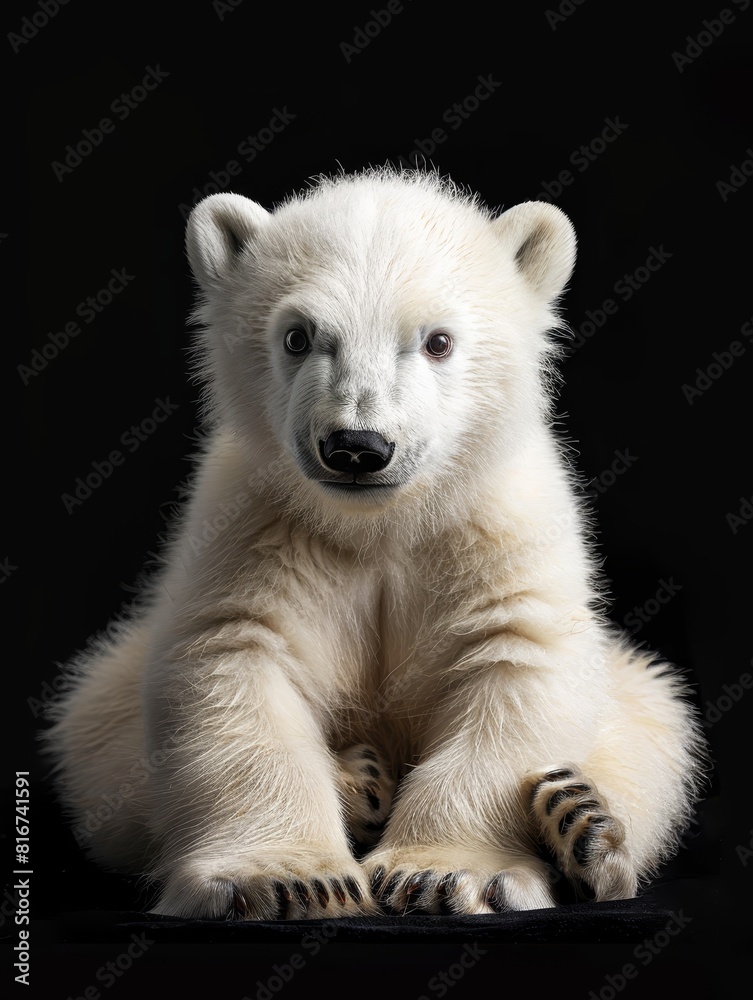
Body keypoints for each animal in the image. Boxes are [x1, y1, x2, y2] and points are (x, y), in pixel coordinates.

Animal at [44, 167, 707, 919]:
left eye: (437, 340)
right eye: (299, 337)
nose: (357, 446)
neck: (383, 523)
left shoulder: (497, 530)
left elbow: (514, 661)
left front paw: (444, 874)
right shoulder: (257, 529)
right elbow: (237, 656)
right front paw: (289, 878)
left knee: (653, 726)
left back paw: (585, 828)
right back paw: (360, 779)